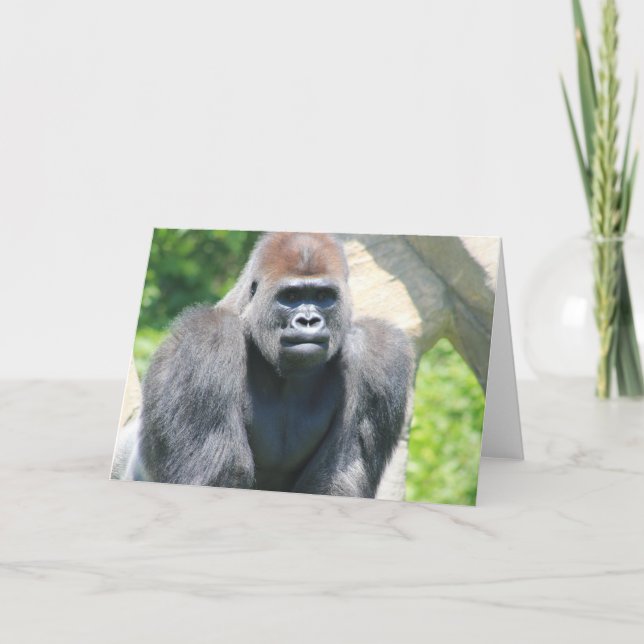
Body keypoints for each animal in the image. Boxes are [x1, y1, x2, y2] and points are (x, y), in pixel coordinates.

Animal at [111, 232, 414, 498]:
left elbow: (339, 482)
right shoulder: (206, 342)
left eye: (322, 296)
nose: (308, 321)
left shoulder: (378, 354)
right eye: (290, 297)